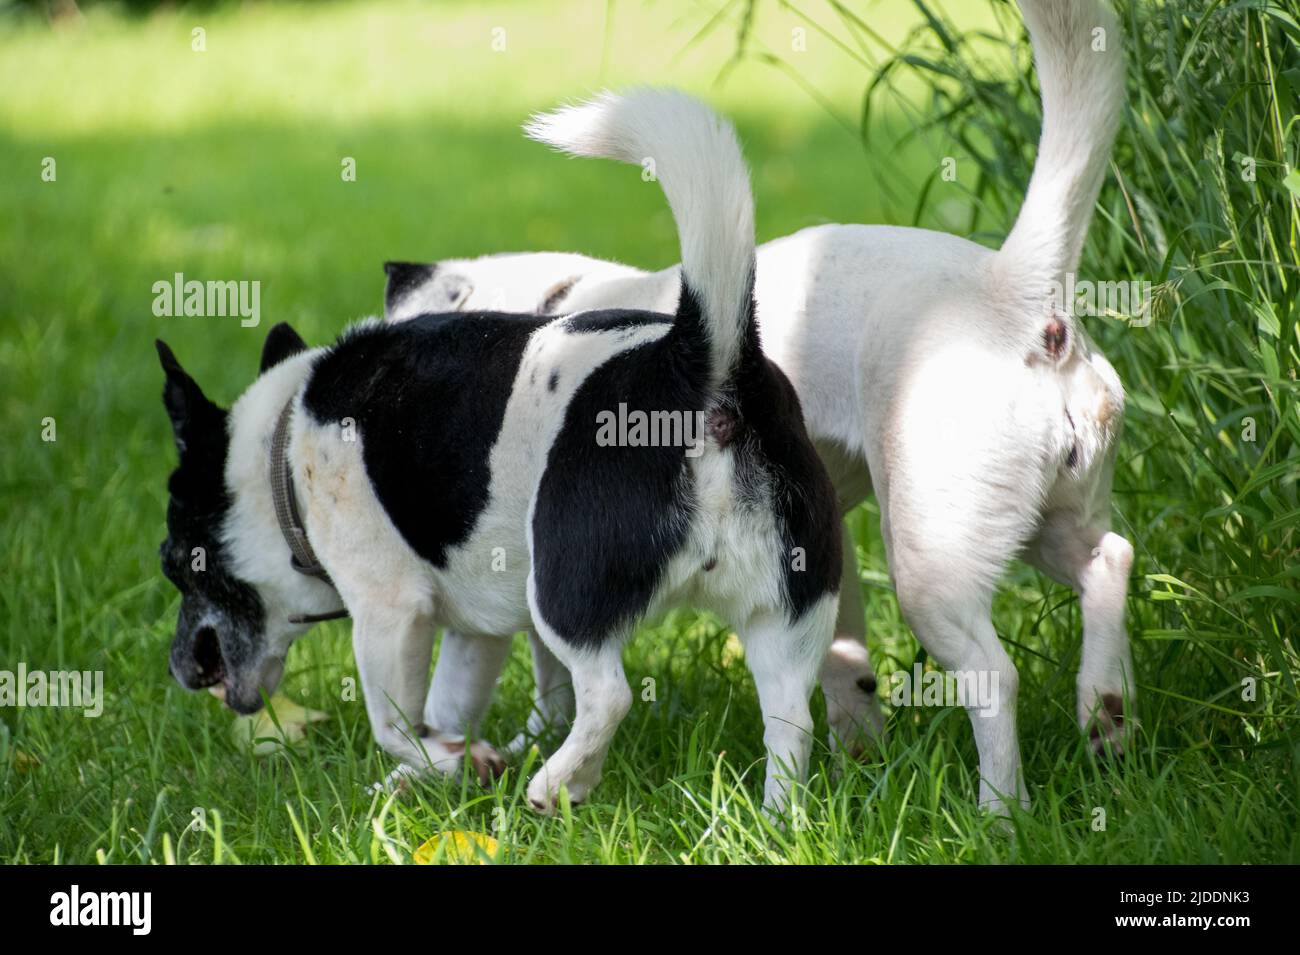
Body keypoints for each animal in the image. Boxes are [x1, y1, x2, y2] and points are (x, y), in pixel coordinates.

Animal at [154, 89, 842, 810]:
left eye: (176, 564)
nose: (177, 670)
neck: (281, 452)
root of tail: (700, 359)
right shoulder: (474, 633)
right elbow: (447, 707)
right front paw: (442, 772)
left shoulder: (388, 613)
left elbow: (395, 722)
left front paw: (448, 760)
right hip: (788, 615)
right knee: (790, 718)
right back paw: (776, 816)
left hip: (565, 594)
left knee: (609, 694)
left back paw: (559, 782)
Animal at [382, 0, 1128, 815]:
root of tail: (1012, 294)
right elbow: (841, 671)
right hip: (1039, 518)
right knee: (1109, 561)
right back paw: (1105, 715)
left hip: (935, 561)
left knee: (996, 679)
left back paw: (1000, 812)